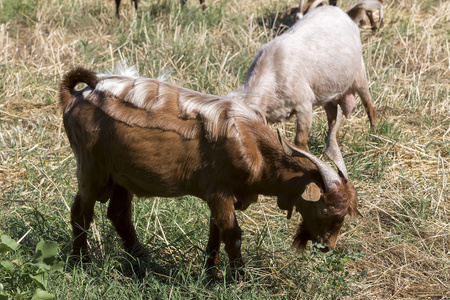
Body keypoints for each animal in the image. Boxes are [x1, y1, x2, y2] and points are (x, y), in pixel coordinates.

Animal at [59, 65, 358, 274]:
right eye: (325, 210)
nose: (327, 246)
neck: (252, 143)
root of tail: (74, 95)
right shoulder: (219, 192)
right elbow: (232, 235)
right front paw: (239, 277)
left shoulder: (222, 198)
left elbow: (215, 233)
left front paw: (210, 274)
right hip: (91, 169)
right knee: (81, 212)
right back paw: (80, 262)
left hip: (121, 177)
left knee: (119, 214)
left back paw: (145, 262)